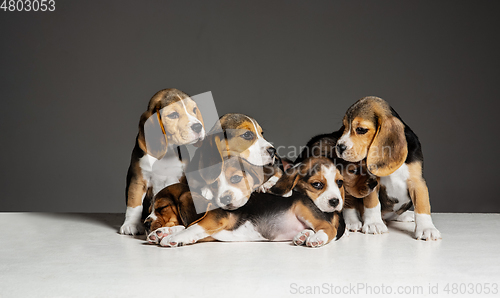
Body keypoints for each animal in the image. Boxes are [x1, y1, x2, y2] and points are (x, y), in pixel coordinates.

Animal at [119, 88, 205, 235]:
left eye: (194, 109)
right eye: (173, 115)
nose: (198, 127)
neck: (167, 152)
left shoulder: (177, 178)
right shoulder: (139, 180)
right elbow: (134, 204)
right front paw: (131, 224)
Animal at [146, 156, 346, 249]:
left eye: (161, 208)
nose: (146, 223)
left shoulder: (214, 220)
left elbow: (192, 227)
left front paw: (171, 237)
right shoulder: (212, 232)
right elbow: (186, 227)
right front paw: (162, 232)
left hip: (303, 208)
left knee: (328, 228)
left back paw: (316, 238)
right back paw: (304, 236)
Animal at [336, 96, 442, 241]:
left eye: (361, 129)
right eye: (344, 127)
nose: (339, 147)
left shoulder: (417, 182)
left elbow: (422, 205)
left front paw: (427, 228)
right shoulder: (372, 182)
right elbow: (372, 203)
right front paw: (374, 223)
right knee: (350, 206)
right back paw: (353, 222)